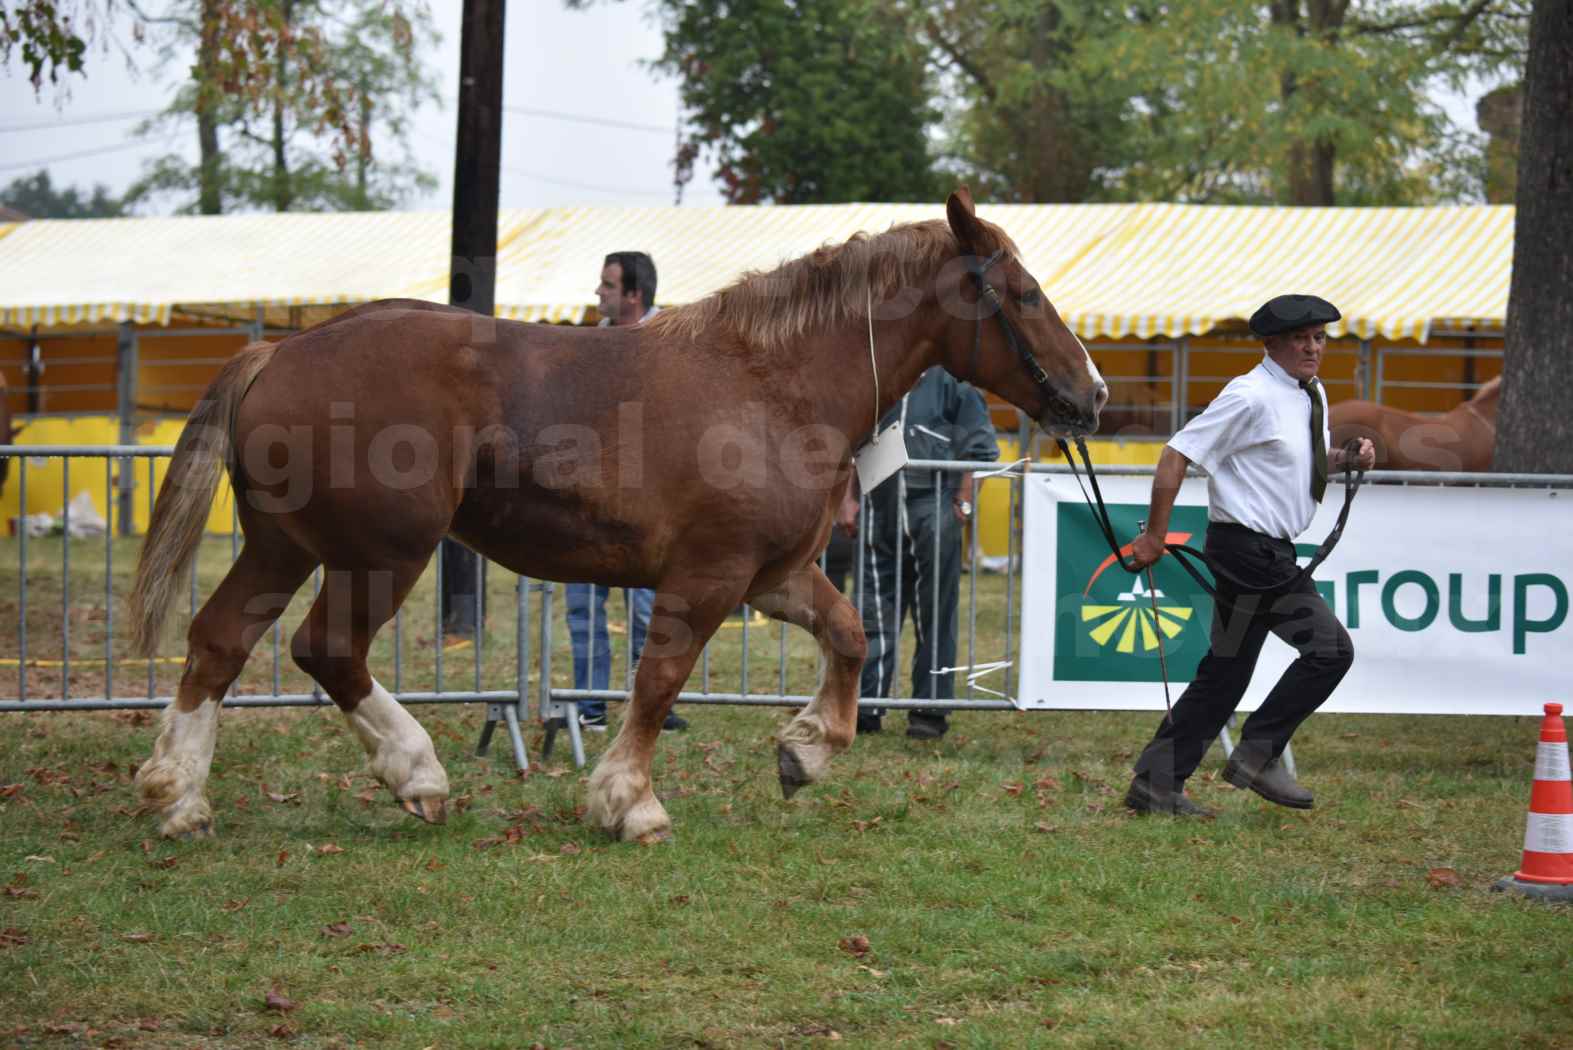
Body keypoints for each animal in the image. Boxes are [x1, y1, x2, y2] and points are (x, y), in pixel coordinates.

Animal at [125, 190, 1107, 842]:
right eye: (1022, 294)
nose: (1092, 394)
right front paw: (627, 800)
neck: (772, 383)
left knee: (219, 641)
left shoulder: (773, 575)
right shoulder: (706, 578)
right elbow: (659, 681)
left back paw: (178, 793)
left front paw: (806, 750)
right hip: (382, 554)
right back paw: (417, 772)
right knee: (325, 650)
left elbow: (851, 635)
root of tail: (281, 350)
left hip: (282, 548)